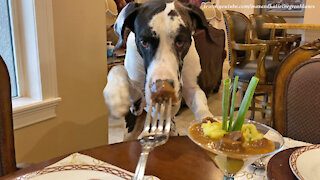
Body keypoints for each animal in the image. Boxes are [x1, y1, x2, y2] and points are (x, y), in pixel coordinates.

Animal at [105, 0, 214, 141]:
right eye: (144, 42)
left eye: (180, 42)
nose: (162, 88)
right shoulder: (138, 95)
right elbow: (117, 68)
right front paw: (115, 97)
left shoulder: (192, 89)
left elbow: (201, 106)